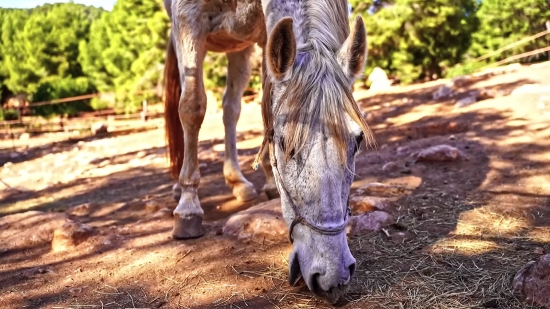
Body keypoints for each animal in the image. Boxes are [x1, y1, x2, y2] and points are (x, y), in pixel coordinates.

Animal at [162, 0, 374, 304]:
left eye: (357, 141)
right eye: (284, 143)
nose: (333, 277)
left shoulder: (266, 36)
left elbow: (264, 110)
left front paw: (268, 181)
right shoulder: (187, 18)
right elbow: (192, 106)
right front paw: (188, 206)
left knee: (231, 107)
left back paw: (240, 182)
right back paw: (181, 190)